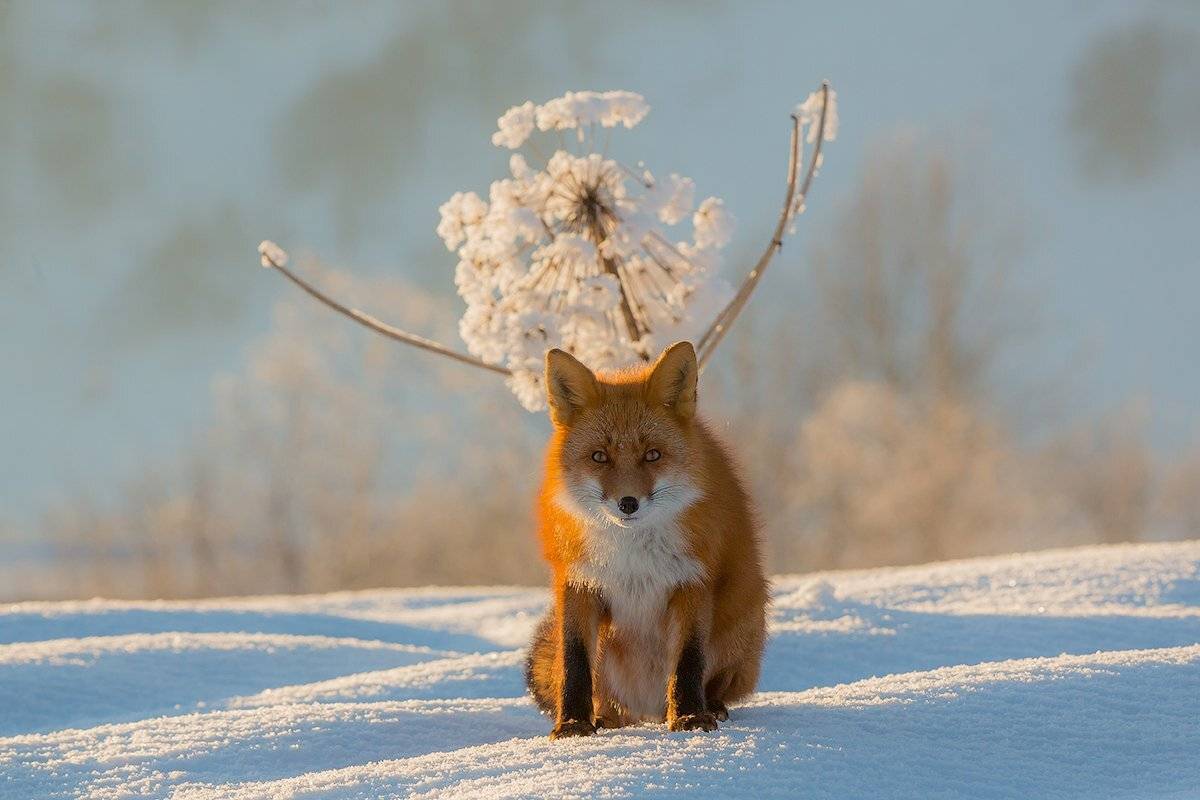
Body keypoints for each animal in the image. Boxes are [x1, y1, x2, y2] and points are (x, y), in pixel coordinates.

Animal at [525, 340, 768, 738]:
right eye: (599, 457)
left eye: (652, 454)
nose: (628, 503)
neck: (632, 553)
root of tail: (648, 708)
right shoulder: (578, 582)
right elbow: (574, 664)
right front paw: (573, 725)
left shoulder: (692, 581)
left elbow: (688, 661)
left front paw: (689, 718)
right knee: (604, 696)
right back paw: (605, 718)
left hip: (741, 625)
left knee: (715, 684)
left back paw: (710, 708)